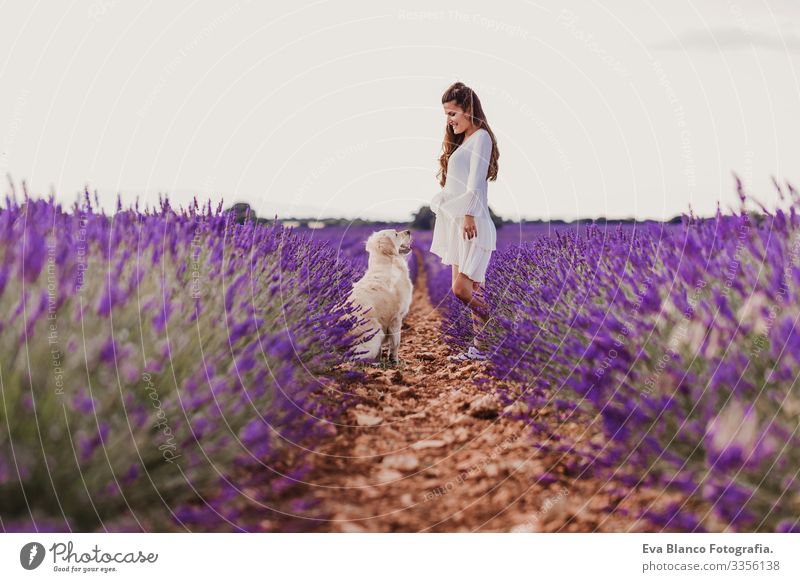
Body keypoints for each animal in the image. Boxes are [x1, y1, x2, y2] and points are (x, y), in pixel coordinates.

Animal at [346, 230, 412, 362]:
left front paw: (381, 358)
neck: (387, 261)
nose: (408, 231)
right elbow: (396, 343)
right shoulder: (396, 318)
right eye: (396, 234)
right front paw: (395, 360)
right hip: (376, 332)